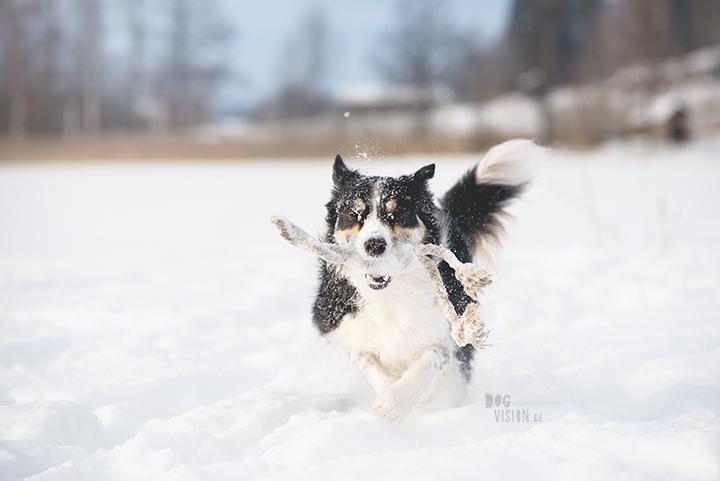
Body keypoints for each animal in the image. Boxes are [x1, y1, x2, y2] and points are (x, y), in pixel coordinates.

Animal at [312, 138, 544, 420]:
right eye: (355, 215)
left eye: (397, 214)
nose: (374, 244)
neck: (388, 294)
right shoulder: (336, 324)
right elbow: (368, 362)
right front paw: (386, 398)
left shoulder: (446, 335)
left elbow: (428, 364)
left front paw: (394, 403)